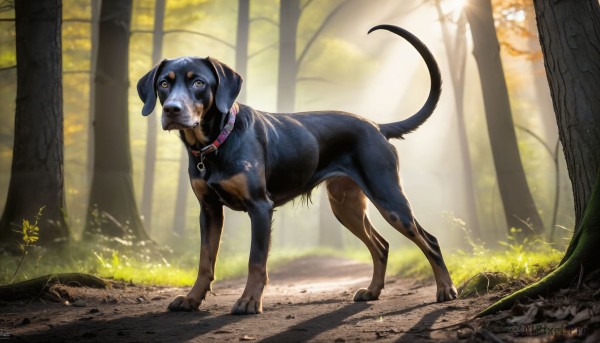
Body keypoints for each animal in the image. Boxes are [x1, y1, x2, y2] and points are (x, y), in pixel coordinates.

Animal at [138, 23, 458, 314]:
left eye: (199, 83)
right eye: (164, 84)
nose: (172, 110)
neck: (214, 145)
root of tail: (377, 126)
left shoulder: (260, 207)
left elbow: (256, 261)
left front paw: (249, 301)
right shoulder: (209, 210)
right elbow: (205, 261)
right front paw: (191, 299)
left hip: (388, 196)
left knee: (429, 240)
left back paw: (445, 289)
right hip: (346, 206)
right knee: (381, 245)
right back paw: (373, 291)